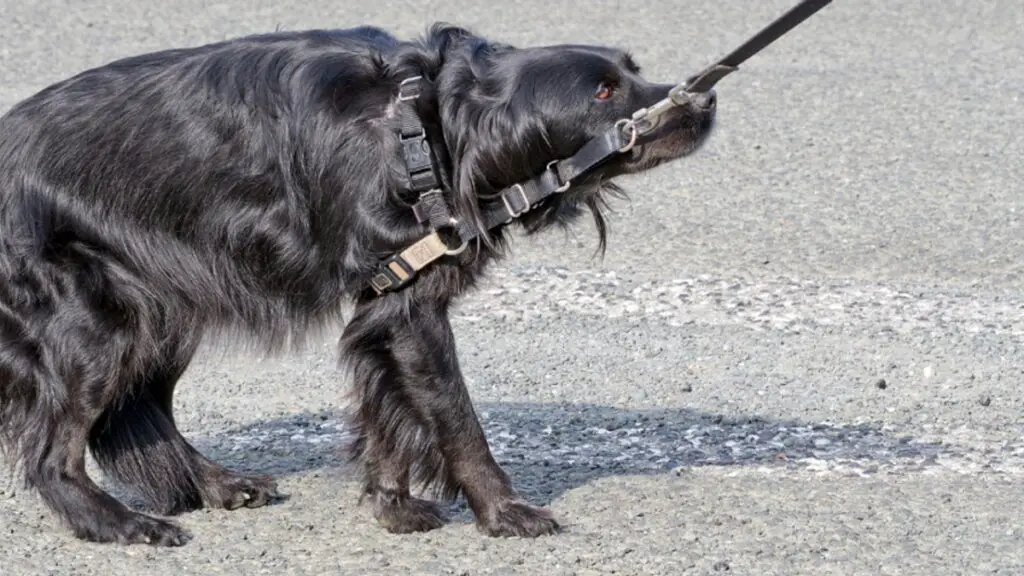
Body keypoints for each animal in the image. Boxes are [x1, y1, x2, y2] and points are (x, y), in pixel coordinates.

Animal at [0, 23, 716, 541]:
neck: (429, 128)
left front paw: (393, 505)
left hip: (161, 306)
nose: (704, 98)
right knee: (52, 454)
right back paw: (119, 524)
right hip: (96, 321)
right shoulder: (408, 308)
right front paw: (503, 513)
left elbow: (388, 413)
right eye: (602, 93)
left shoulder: (385, 308)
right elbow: (456, 420)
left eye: (633, 69)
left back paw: (215, 485)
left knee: (133, 411)